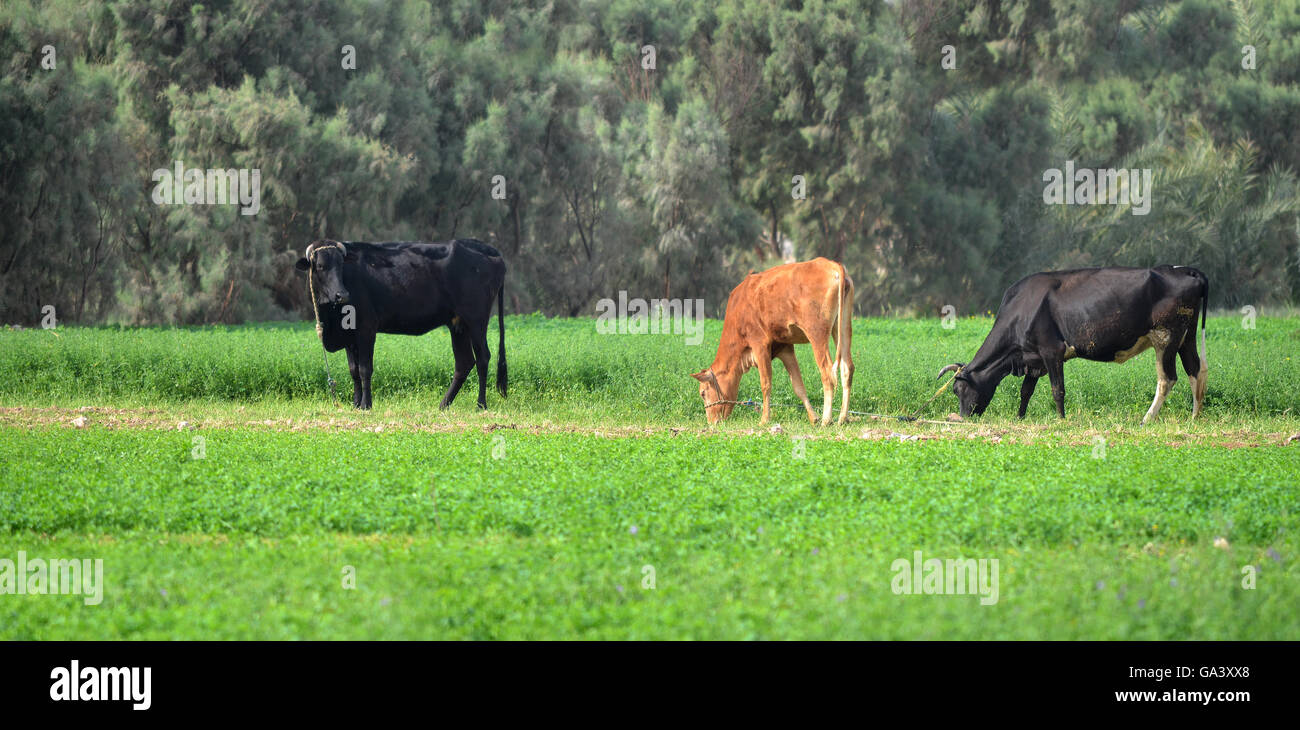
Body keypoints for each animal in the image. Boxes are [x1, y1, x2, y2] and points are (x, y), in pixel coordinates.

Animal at [295, 238, 506, 410]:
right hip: (458, 325)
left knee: (483, 358)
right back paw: (444, 404)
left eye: (340, 265)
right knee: (464, 362)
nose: (342, 295)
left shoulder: (366, 328)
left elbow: (365, 369)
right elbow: (353, 370)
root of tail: (488, 249)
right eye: (320, 266)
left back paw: (480, 404)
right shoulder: (349, 334)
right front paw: (355, 404)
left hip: (477, 320)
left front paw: (365, 405)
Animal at [692, 258, 854, 426]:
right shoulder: (785, 347)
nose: (712, 422)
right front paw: (813, 417)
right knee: (847, 368)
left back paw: (826, 419)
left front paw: (764, 419)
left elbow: (765, 383)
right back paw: (843, 417)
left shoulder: (759, 344)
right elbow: (798, 386)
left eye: (703, 393)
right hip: (842, 326)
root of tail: (831, 264)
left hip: (817, 332)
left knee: (827, 372)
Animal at [937, 265, 1208, 423]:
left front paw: (1061, 420)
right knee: (1196, 369)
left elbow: (1058, 390)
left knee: (1167, 378)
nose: (963, 418)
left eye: (957, 390)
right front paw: (1020, 417)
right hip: (1187, 337)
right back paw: (1195, 417)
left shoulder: (1052, 351)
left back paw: (1147, 419)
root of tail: (1186, 270)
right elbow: (1026, 391)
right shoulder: (1033, 358)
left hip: (1165, 336)